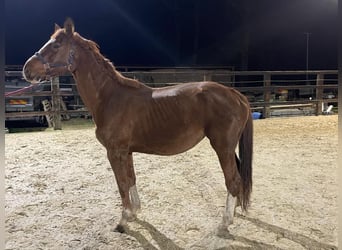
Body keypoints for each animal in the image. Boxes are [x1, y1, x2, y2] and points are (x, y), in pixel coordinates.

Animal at [22, 18, 252, 234]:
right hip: (228, 149)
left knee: (232, 181)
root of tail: (236, 94)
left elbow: (122, 184)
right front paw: (135, 213)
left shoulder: (114, 152)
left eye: (56, 45)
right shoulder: (127, 151)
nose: (27, 69)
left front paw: (123, 220)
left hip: (222, 147)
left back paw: (224, 223)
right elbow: (131, 179)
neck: (110, 97)